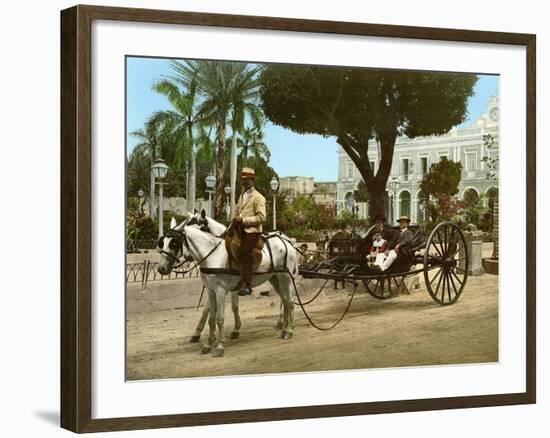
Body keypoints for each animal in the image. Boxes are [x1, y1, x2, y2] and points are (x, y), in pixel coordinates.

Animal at [160, 215, 298, 356]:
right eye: (162, 242)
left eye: (174, 243)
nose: (161, 268)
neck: (213, 255)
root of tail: (287, 241)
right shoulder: (211, 290)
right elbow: (211, 316)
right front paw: (208, 343)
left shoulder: (221, 290)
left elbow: (220, 317)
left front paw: (220, 346)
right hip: (275, 278)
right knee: (285, 300)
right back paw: (283, 329)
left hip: (285, 277)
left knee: (290, 301)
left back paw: (289, 330)